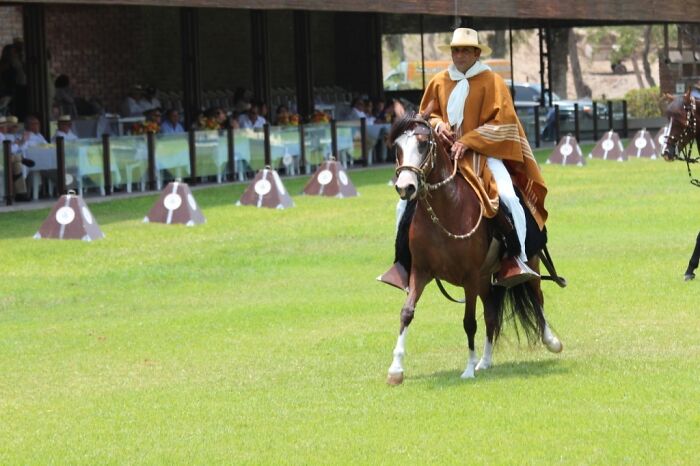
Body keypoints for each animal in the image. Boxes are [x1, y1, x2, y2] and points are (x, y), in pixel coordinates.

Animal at [386, 111, 562, 385]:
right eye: (397, 147)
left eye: (423, 144)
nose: (406, 187)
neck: (446, 210)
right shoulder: (421, 271)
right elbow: (406, 312)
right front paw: (395, 369)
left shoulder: (468, 276)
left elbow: (469, 321)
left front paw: (467, 369)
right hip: (484, 279)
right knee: (491, 314)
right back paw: (485, 361)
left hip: (527, 263)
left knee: (536, 295)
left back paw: (551, 340)